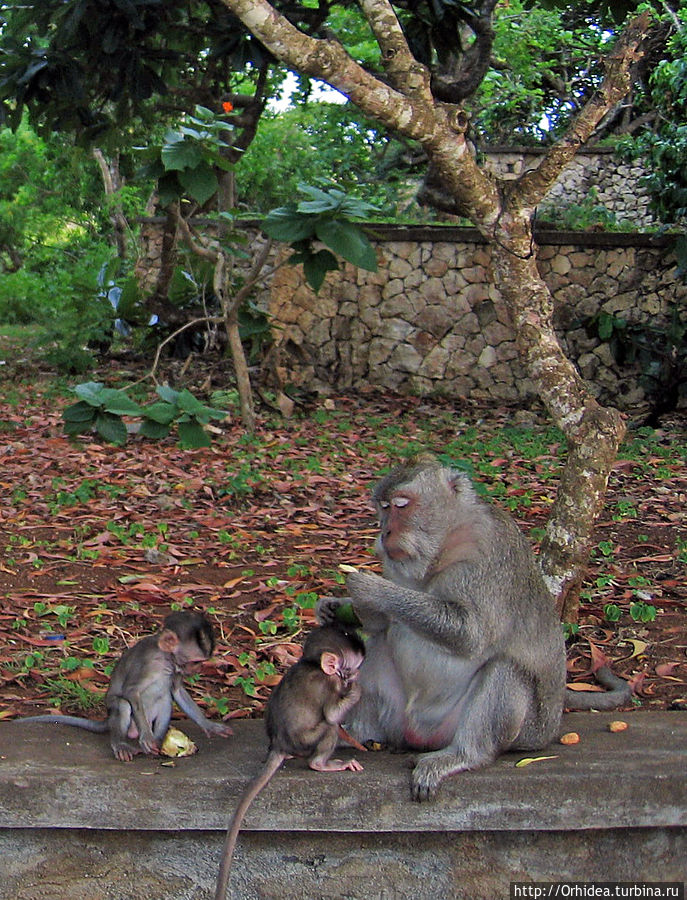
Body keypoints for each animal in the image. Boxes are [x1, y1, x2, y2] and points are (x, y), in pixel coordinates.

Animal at [18, 612, 234, 760]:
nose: (197, 670)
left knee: (165, 699)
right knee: (123, 705)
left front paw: (209, 725)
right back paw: (121, 743)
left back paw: (157, 742)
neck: (166, 659)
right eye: (195, 662)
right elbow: (131, 691)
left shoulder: (176, 670)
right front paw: (146, 737)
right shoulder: (149, 663)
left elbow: (177, 691)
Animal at [215, 624, 366, 900]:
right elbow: (331, 714)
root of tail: (279, 744)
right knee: (329, 727)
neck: (313, 664)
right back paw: (321, 763)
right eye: (352, 668)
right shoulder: (331, 683)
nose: (354, 676)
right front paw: (357, 689)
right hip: (305, 740)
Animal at [320, 458, 632, 800]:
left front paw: (372, 589)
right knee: (378, 642)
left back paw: (465, 754)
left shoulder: (488, 550)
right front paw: (335, 606)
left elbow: (471, 634)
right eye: (384, 507)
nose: (384, 530)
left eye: (402, 505)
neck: (443, 546)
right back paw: (351, 734)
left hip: (525, 731)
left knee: (506, 670)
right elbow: (380, 624)